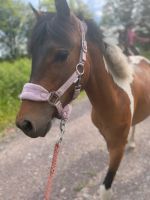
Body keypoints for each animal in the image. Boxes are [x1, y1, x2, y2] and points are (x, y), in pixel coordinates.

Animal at [16, 0, 150, 199]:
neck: (114, 100)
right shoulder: (109, 142)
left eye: (62, 54)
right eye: (32, 53)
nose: (25, 123)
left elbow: (104, 190)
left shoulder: (117, 148)